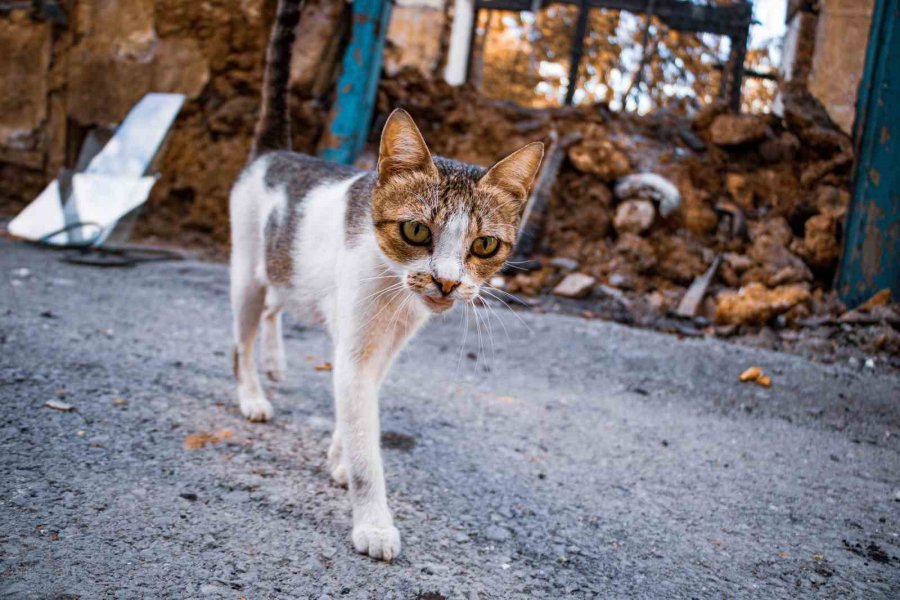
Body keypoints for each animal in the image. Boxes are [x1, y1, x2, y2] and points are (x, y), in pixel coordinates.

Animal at [229, 0, 544, 564]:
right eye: (417, 231)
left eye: (485, 245)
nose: (446, 283)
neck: (398, 294)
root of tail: (274, 154)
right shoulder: (356, 348)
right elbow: (365, 447)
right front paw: (373, 521)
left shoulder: (382, 351)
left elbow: (355, 414)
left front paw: (337, 457)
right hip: (247, 272)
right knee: (240, 336)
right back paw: (252, 393)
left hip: (283, 276)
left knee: (272, 310)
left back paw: (276, 361)